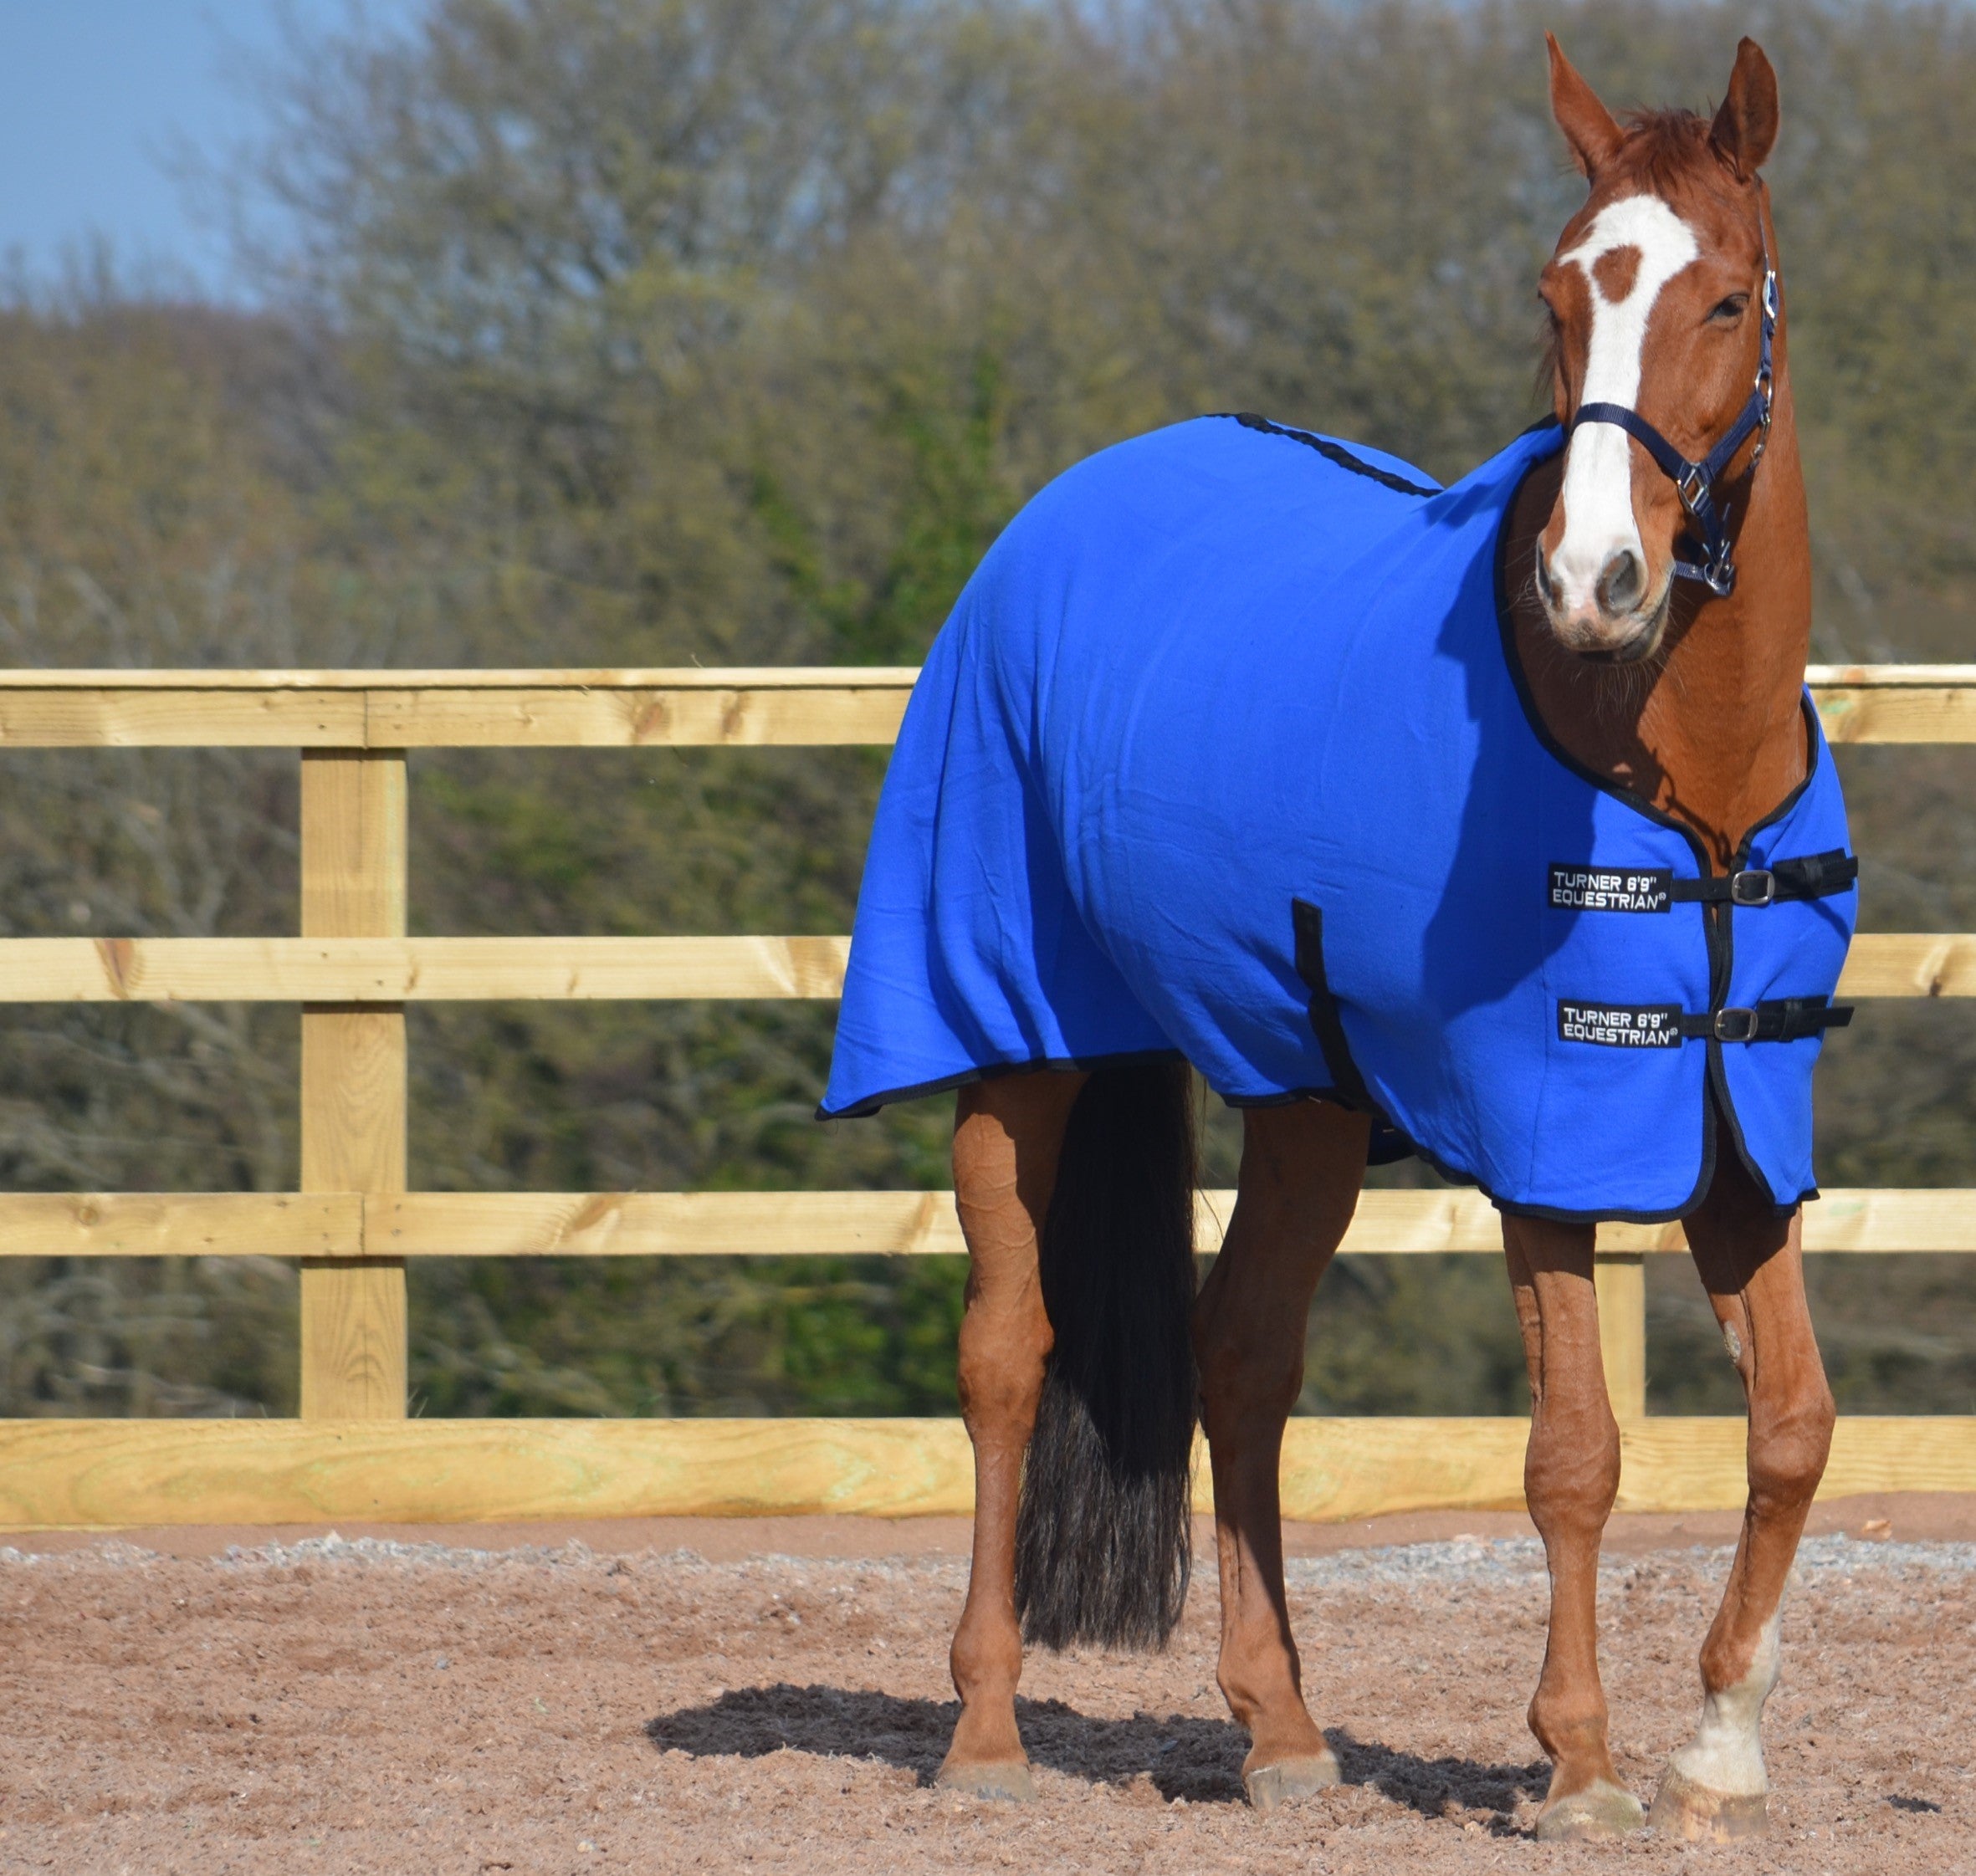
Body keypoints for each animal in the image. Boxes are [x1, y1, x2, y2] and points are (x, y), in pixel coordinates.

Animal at [822, 33, 1849, 1848]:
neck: (1683, 777)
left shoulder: (1735, 1131)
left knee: (1238, 1350)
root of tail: (1054, 514)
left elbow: (1790, 1424)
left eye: (1725, 299)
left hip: (1301, 1086)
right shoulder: (1543, 1130)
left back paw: (1281, 1730)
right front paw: (1576, 1762)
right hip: (1010, 1040)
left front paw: (1715, 1741)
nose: (1595, 577)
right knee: (1005, 1354)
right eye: (1557, 293)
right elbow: (1573, 1450)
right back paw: (987, 1730)